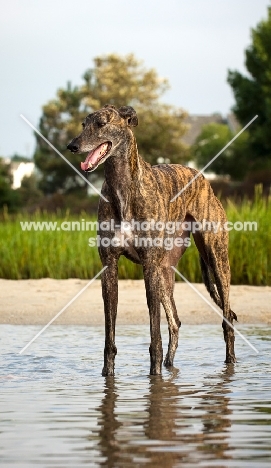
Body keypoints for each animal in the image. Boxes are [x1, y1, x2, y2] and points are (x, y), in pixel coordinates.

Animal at [68, 104, 238, 374]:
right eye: (83, 124)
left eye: (102, 123)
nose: (72, 146)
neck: (123, 188)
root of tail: (203, 179)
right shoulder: (110, 266)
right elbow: (110, 332)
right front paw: (108, 375)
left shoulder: (148, 266)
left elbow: (154, 332)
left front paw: (154, 377)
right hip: (165, 270)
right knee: (175, 321)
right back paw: (170, 366)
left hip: (216, 259)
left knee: (227, 317)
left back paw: (229, 363)